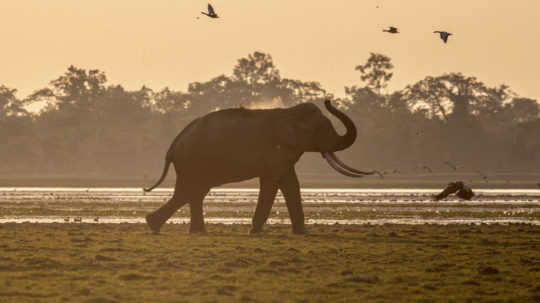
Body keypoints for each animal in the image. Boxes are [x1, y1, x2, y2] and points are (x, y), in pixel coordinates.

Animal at [144, 100, 380, 235]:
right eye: (320, 130)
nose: (327, 100)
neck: (288, 113)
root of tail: (173, 145)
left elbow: (290, 183)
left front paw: (302, 233)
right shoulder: (274, 151)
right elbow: (272, 181)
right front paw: (254, 232)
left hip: (193, 163)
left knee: (193, 192)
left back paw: (173, 228)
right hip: (193, 161)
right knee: (191, 191)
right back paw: (161, 226)